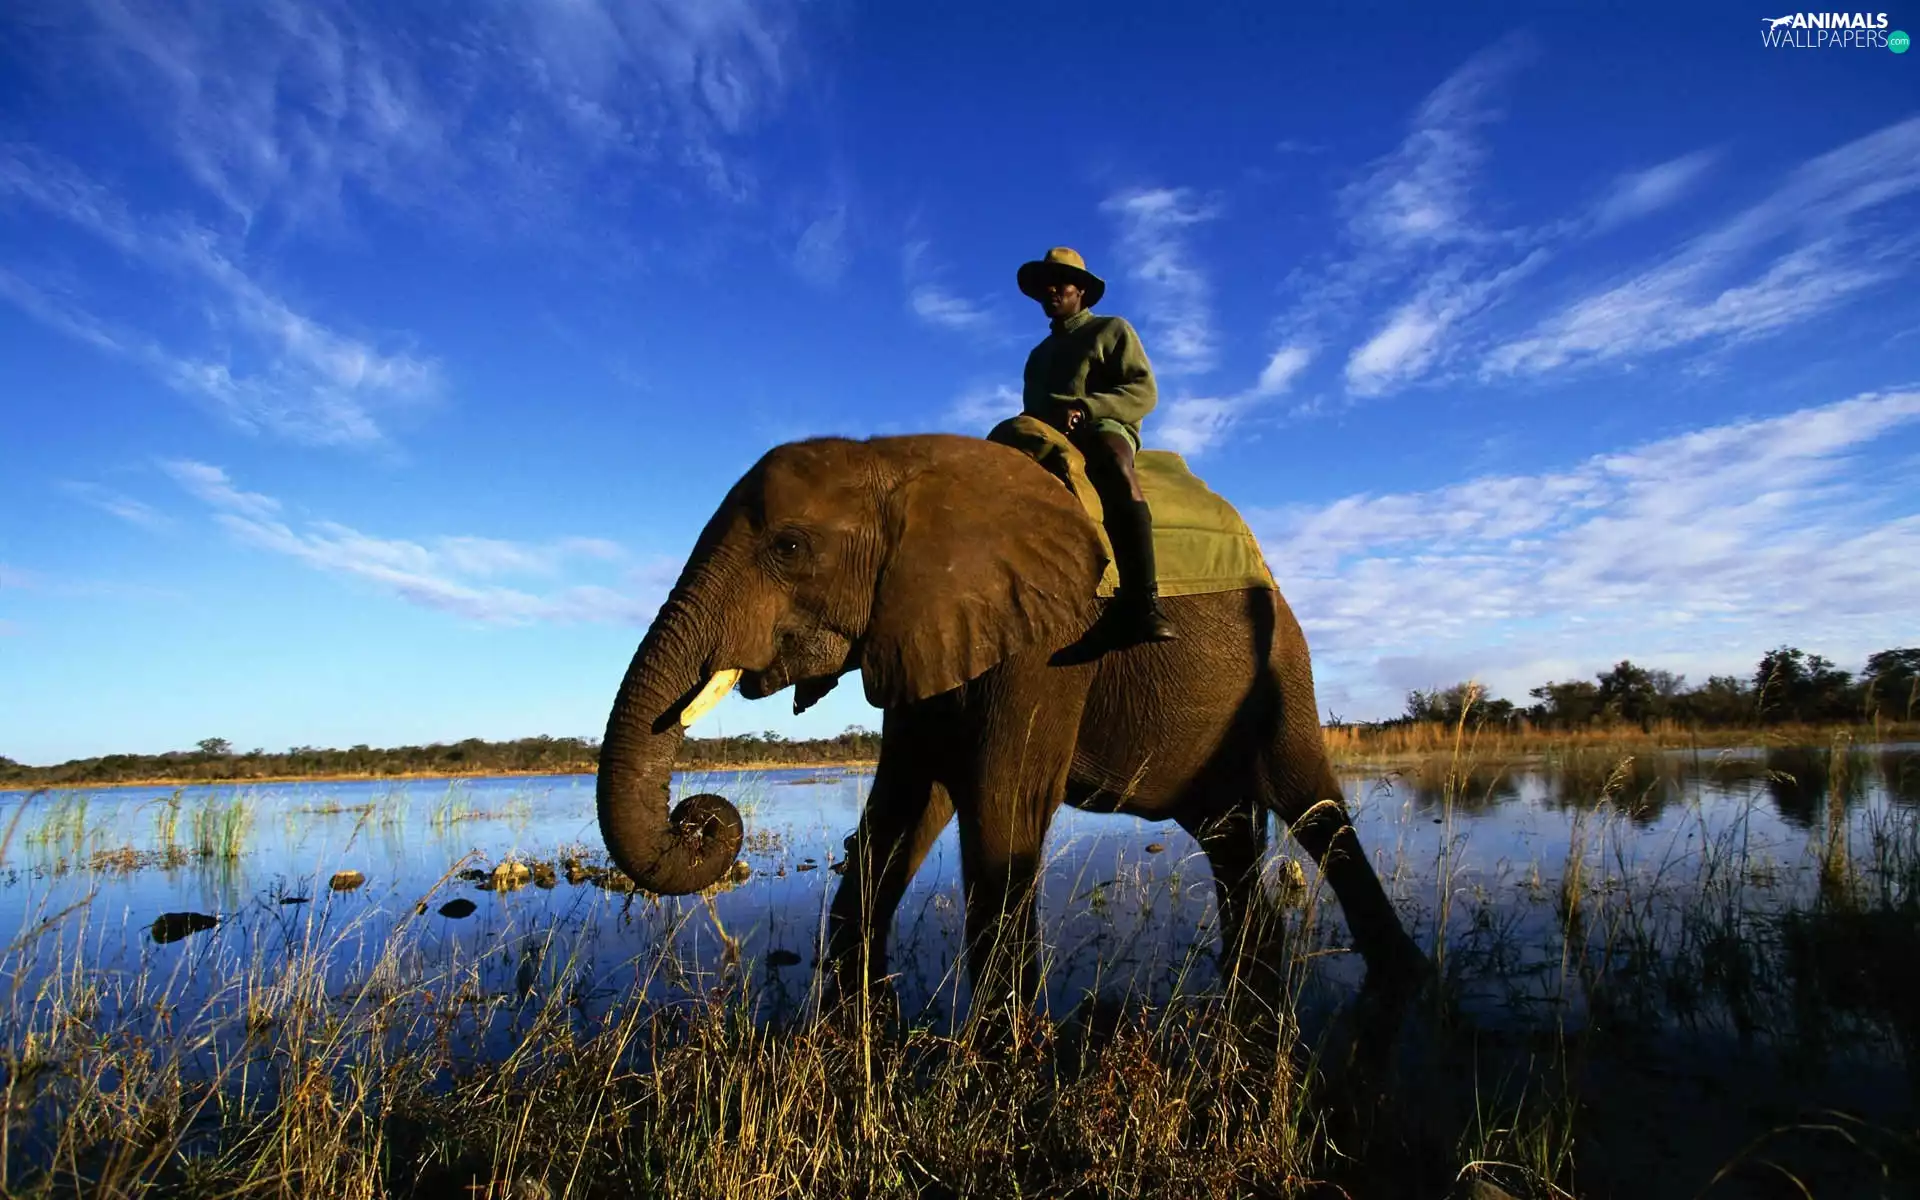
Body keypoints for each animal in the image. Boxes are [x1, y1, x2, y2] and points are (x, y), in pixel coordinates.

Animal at [595, 433, 1426, 1018]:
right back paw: (1255, 974)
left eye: (789, 547)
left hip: (1284, 668)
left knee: (1314, 809)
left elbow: (1001, 806)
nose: (697, 817)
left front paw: (1005, 1048)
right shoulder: (922, 630)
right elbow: (899, 813)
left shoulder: (1050, 644)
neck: (901, 463)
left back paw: (1403, 974)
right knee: (1226, 830)